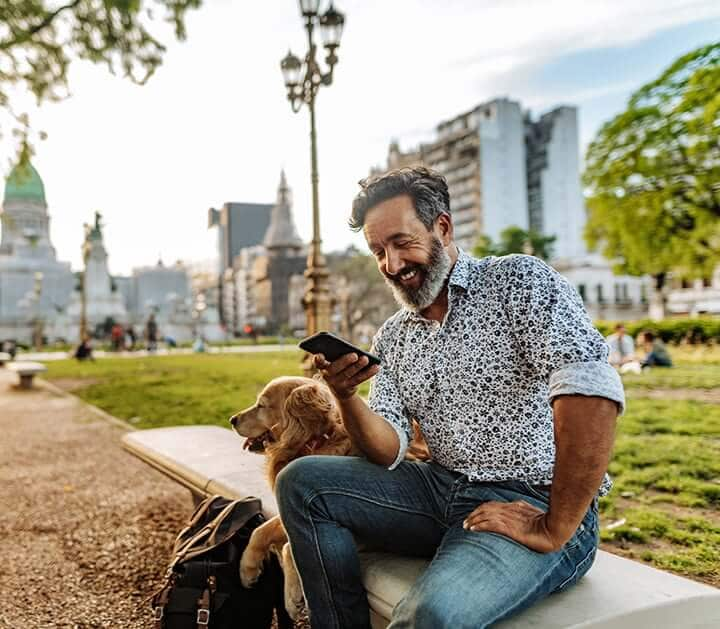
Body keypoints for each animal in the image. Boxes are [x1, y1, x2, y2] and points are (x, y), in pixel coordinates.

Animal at [231, 372, 428, 620]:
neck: (317, 442)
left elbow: (289, 549)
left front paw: (292, 596)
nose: (232, 419)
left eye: (261, 405)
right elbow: (260, 531)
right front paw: (247, 569)